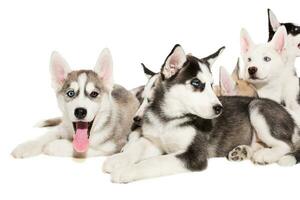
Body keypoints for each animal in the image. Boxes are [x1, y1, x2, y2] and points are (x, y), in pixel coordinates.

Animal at [11, 48, 139, 158]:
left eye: (94, 94)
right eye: (70, 93)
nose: (80, 111)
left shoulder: (114, 146)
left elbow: (81, 150)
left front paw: (53, 146)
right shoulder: (63, 127)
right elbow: (48, 134)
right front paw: (27, 146)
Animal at [102, 45, 298, 183]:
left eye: (211, 84)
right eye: (196, 83)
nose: (219, 108)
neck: (170, 117)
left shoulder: (194, 156)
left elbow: (154, 162)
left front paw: (127, 171)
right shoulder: (154, 141)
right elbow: (137, 148)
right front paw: (118, 159)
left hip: (257, 107)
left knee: (287, 145)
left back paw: (266, 155)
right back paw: (242, 151)